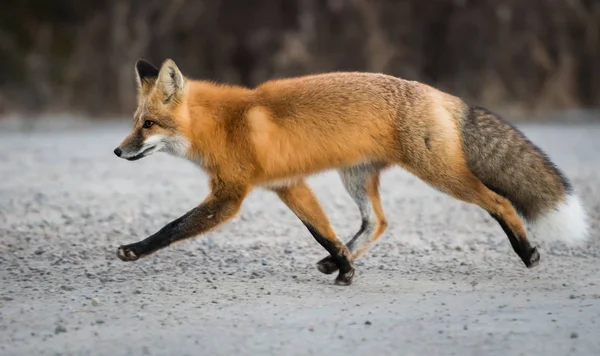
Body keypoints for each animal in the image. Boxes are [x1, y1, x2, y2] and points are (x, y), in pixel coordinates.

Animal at [115, 59, 588, 286]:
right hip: (355, 178)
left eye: (148, 125)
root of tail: (440, 94)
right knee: (376, 222)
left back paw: (527, 252)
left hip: (439, 175)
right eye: (135, 121)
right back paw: (337, 261)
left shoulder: (231, 195)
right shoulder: (289, 186)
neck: (225, 125)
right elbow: (323, 232)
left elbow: (173, 227)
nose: (118, 150)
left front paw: (134, 250)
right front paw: (343, 267)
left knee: (499, 200)